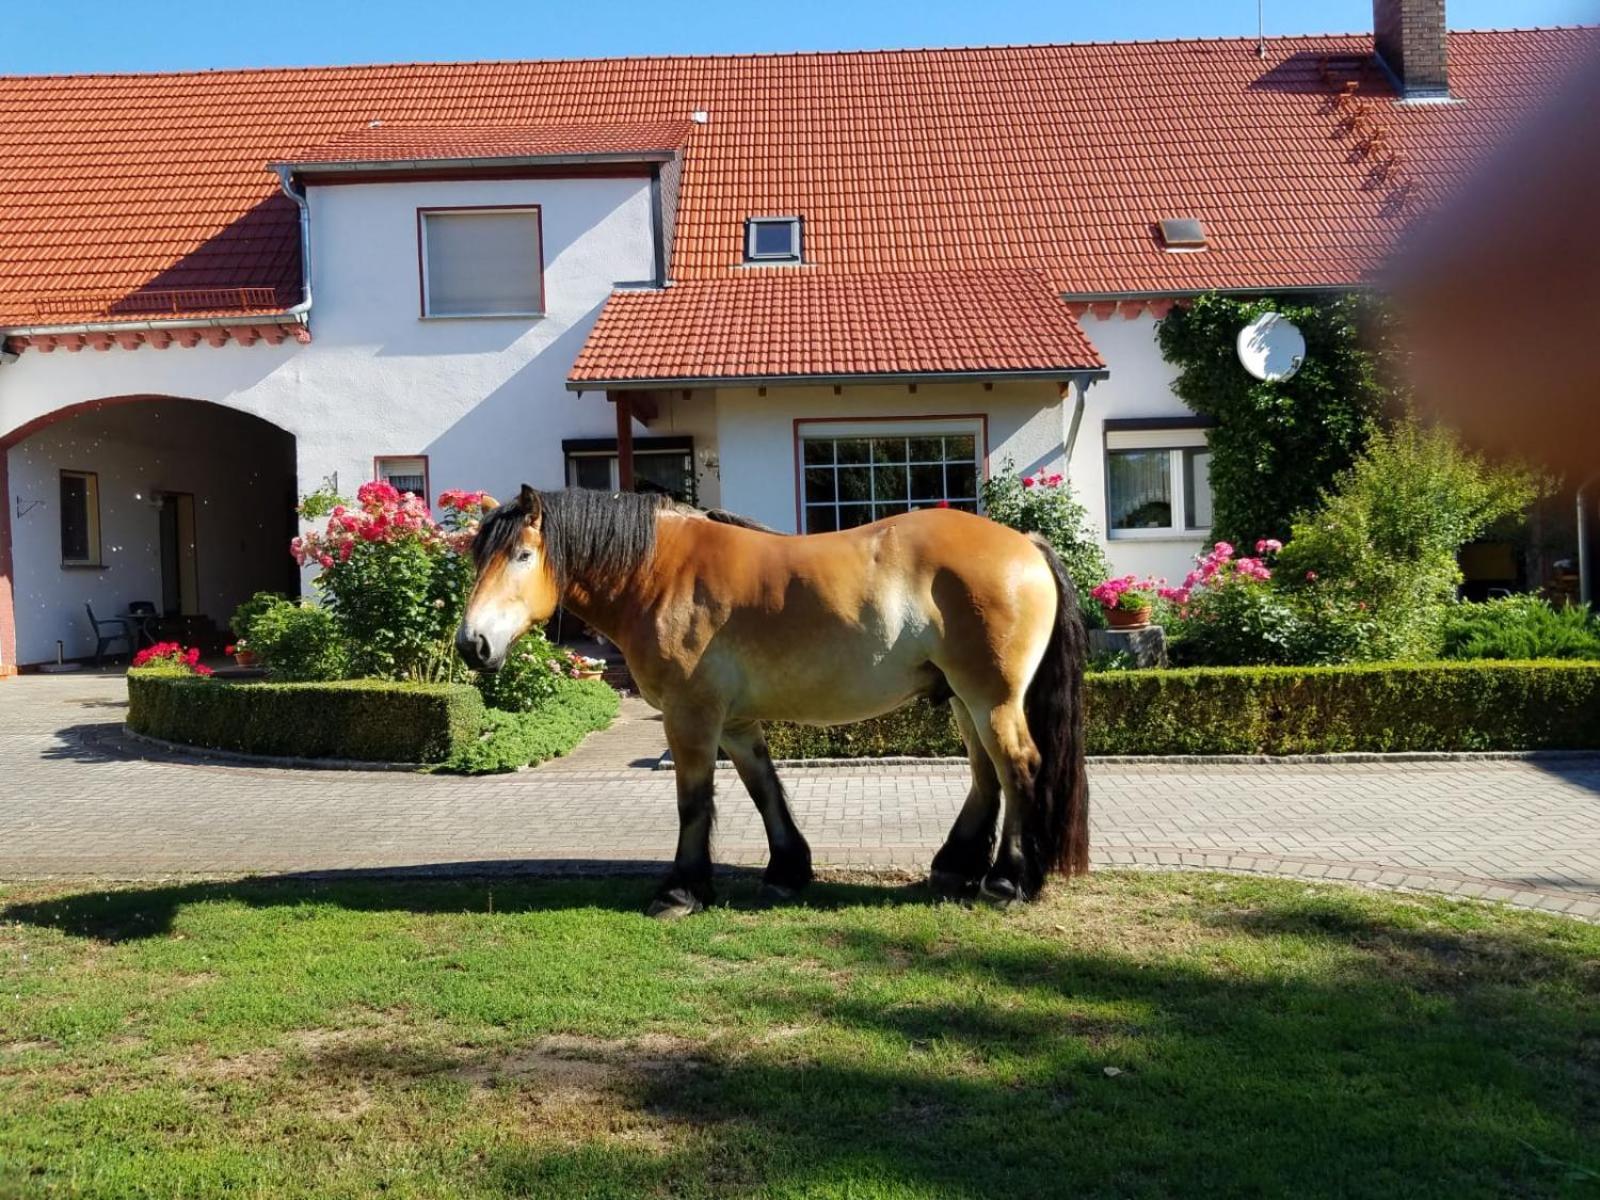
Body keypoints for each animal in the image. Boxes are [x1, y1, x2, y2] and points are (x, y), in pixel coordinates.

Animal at [457, 489, 1094, 921]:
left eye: (522, 555)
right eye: (477, 559)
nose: (472, 644)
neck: (660, 572)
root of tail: (1025, 543)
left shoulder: (690, 716)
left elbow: (693, 803)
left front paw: (681, 890)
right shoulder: (736, 723)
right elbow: (764, 790)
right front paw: (788, 870)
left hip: (992, 698)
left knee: (1018, 768)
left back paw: (1007, 882)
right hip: (965, 698)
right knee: (987, 775)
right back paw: (956, 866)